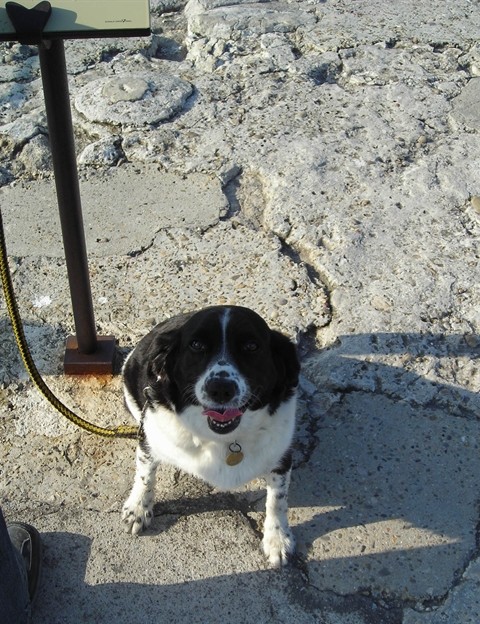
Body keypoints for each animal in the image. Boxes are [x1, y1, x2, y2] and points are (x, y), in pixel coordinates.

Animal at [122, 304, 298, 568]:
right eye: (196, 345)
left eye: (251, 346)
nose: (220, 388)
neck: (223, 440)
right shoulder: (149, 437)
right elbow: (145, 475)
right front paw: (139, 508)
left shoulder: (281, 455)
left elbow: (277, 500)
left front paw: (277, 538)